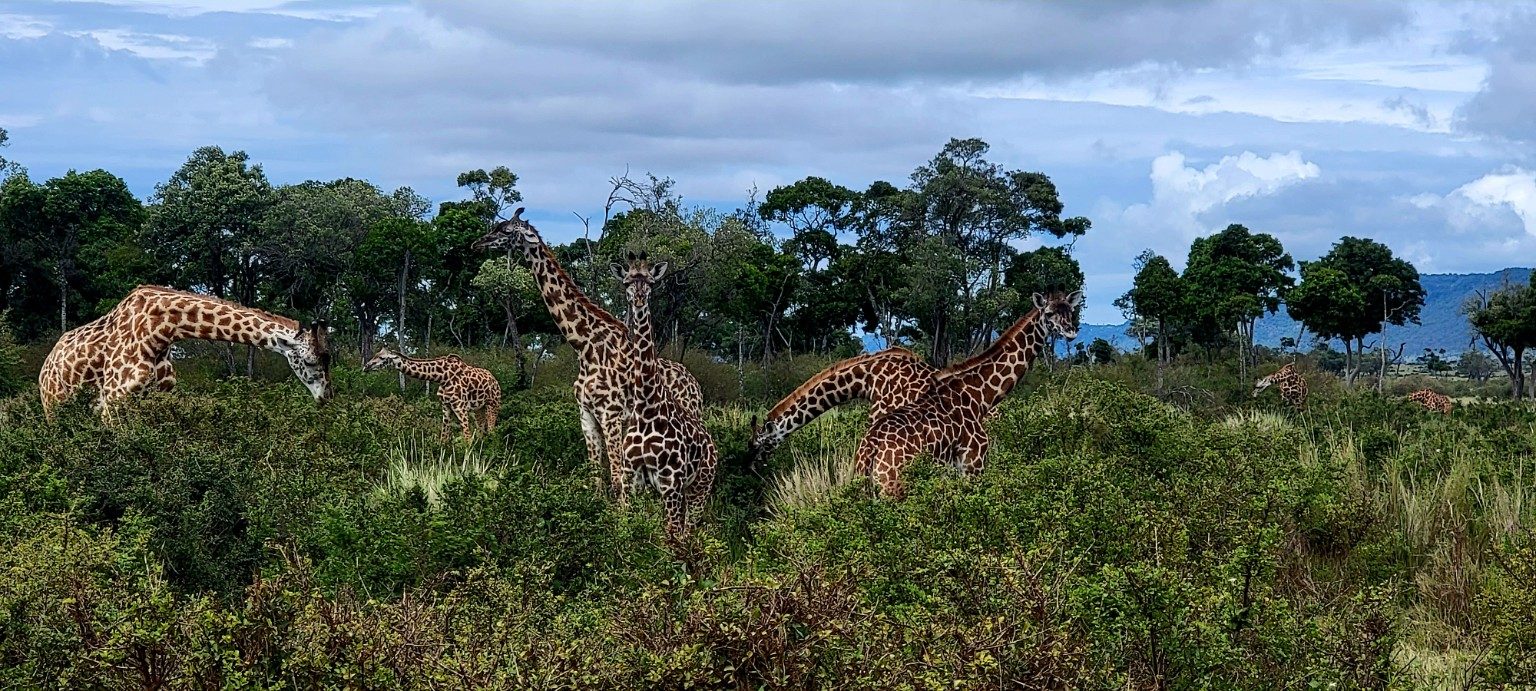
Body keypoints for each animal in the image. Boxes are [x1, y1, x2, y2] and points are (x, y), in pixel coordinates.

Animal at [39, 285, 332, 420]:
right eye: (309, 361)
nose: (326, 398)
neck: (160, 332)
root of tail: (44, 370)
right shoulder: (113, 400)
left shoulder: (159, 396)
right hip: (54, 407)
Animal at [364, 347, 502, 440]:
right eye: (376, 354)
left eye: (382, 358)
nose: (366, 366)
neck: (442, 377)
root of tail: (495, 380)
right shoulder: (446, 407)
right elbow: (443, 439)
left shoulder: (460, 407)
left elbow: (467, 439)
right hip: (479, 408)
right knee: (481, 430)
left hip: (493, 404)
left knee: (491, 430)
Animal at [471, 208, 703, 495]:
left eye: (505, 230)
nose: (477, 243)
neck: (585, 346)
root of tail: (694, 384)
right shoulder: (587, 415)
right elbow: (595, 477)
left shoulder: (611, 414)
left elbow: (617, 478)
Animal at [613, 251, 717, 537]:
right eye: (627, 282)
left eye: (650, 282)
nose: (638, 299)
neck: (646, 407)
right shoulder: (631, 477)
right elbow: (626, 530)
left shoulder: (670, 482)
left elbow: (670, 537)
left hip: (699, 487)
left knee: (687, 533)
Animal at [855, 291, 1082, 499]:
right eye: (1049, 313)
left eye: (1070, 311)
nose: (1071, 332)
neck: (980, 396)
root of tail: (870, 449)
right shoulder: (973, 461)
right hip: (895, 488)